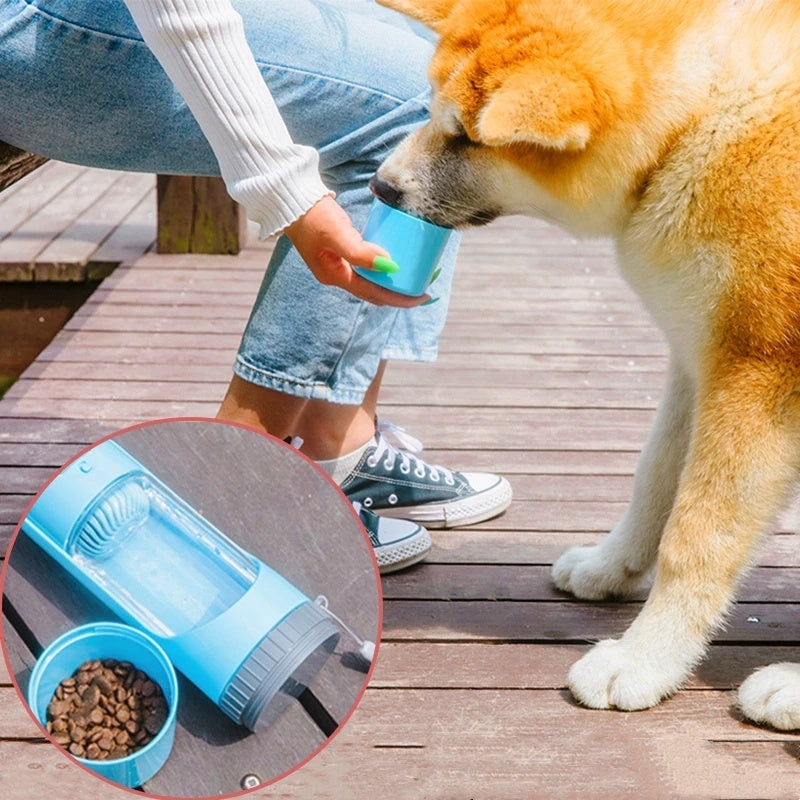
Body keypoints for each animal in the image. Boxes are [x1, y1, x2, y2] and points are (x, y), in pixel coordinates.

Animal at [376, 0, 800, 724]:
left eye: (466, 139)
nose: (380, 185)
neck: (697, 121)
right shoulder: (697, 358)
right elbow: (654, 479)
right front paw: (613, 567)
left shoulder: (755, 381)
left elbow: (697, 536)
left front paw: (645, 659)